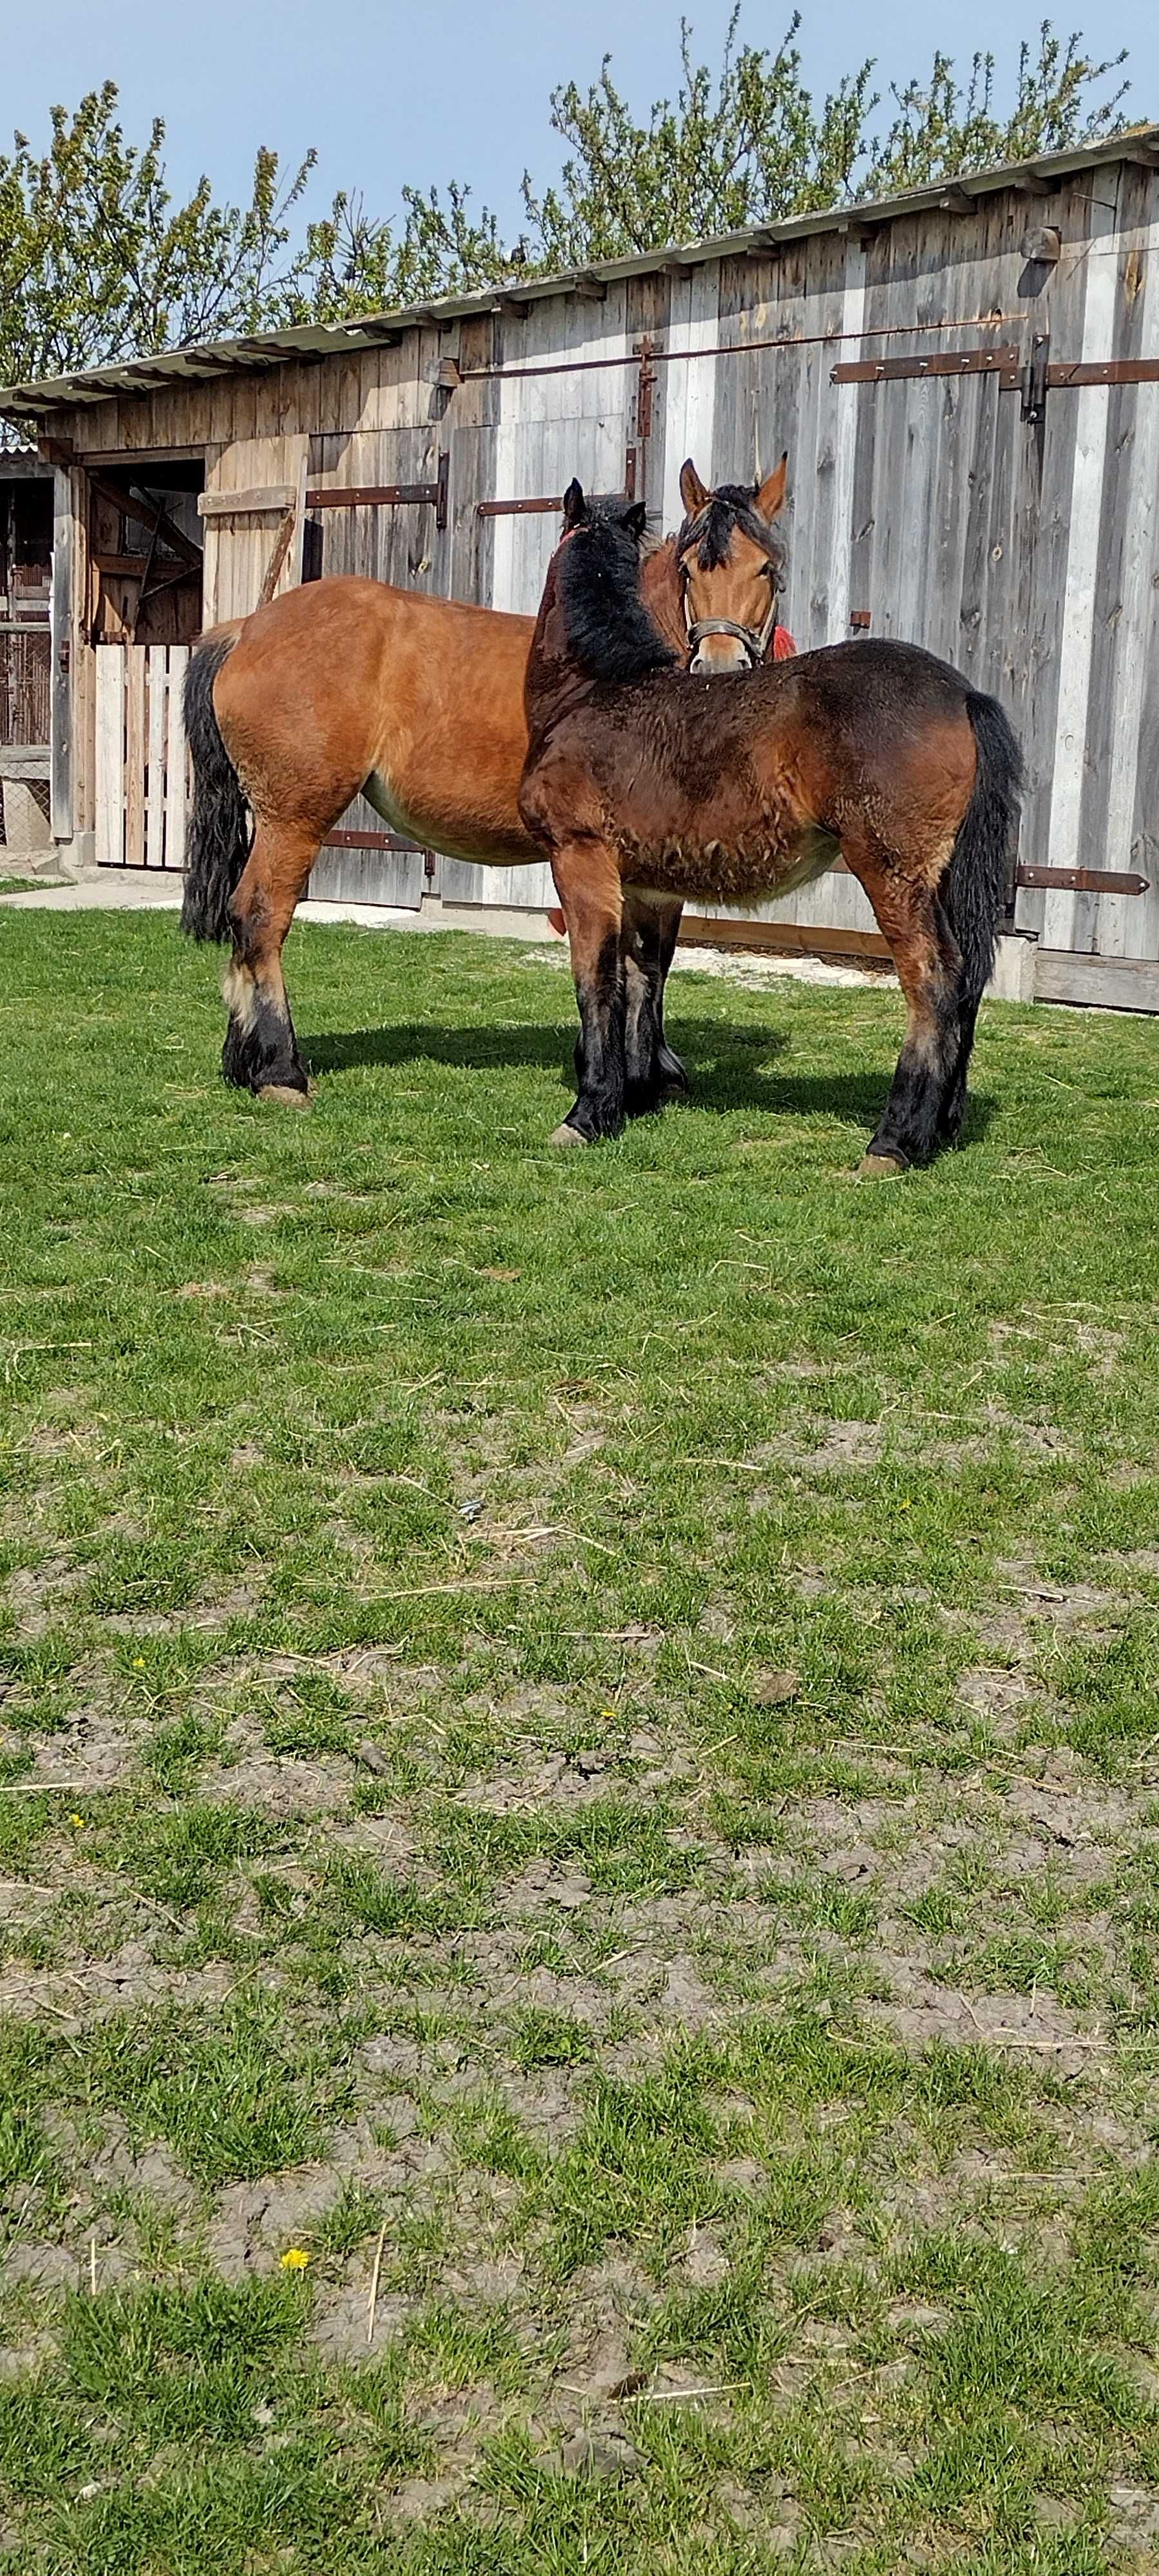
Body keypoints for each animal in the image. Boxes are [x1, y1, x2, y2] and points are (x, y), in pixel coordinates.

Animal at [183, 464, 798, 1108]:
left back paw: (243, 1060)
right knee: (261, 916)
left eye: (767, 567)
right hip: (294, 821)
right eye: (689, 569)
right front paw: (639, 1075)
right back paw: (280, 1070)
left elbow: (648, 961)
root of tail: (245, 630)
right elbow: (645, 960)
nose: (720, 670)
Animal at [520, 484, 1020, 1180]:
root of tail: (965, 694)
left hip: (891, 873)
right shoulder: (645, 884)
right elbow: (643, 977)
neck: (594, 692)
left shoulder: (581, 861)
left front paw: (588, 1114)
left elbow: (595, 981)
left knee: (935, 980)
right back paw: (941, 1126)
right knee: (969, 979)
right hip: (942, 877)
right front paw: (638, 1095)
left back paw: (893, 1141)